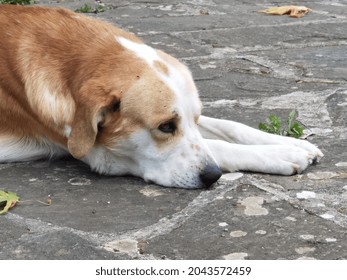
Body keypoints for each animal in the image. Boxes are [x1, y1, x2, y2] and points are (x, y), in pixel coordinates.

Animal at [0, 4, 324, 188]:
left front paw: (290, 143)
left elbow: (228, 127)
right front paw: (280, 155)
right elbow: (219, 146)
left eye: (192, 120)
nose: (213, 177)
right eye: (165, 127)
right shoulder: (103, 155)